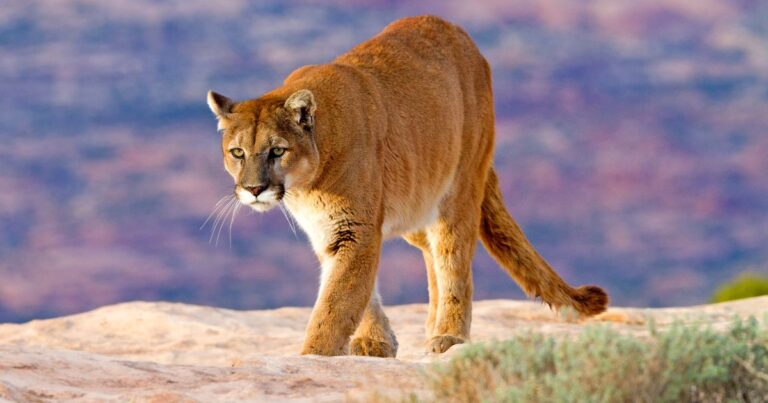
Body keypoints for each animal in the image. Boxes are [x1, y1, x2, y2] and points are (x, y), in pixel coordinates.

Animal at [206, 15, 608, 357]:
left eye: (277, 150)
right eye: (237, 152)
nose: (253, 189)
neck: (307, 183)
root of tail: (461, 34)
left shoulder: (356, 228)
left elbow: (337, 301)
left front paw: (314, 355)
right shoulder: (334, 231)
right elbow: (358, 290)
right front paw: (376, 341)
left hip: (458, 188)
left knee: (453, 259)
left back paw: (448, 334)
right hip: (415, 201)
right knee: (431, 253)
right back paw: (431, 325)